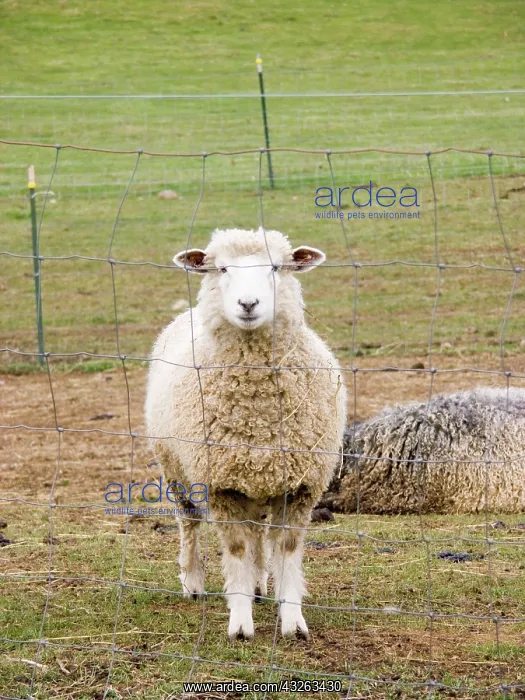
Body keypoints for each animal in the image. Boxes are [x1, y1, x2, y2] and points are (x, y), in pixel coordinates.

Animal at [145, 228, 346, 640]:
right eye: (221, 268)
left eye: (276, 267)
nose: (248, 303)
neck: (258, 411)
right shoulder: (221, 485)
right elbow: (236, 550)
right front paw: (240, 623)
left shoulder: (300, 486)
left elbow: (286, 550)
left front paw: (292, 620)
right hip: (175, 469)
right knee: (189, 522)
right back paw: (193, 581)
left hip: (257, 481)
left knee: (257, 533)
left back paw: (258, 585)